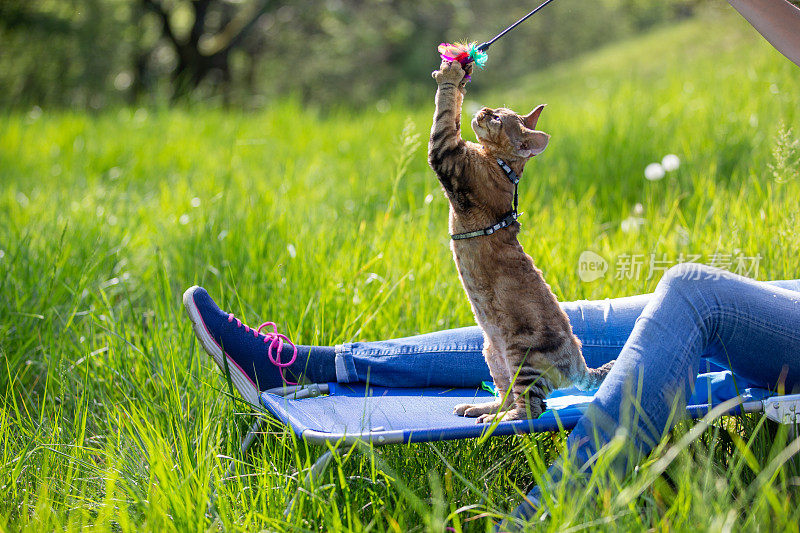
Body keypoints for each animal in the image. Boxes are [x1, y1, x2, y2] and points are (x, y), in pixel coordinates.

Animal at [428, 58, 616, 422]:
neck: (504, 166)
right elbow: (453, 110)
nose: (484, 109)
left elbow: (446, 112)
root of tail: (580, 363)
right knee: (506, 396)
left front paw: (452, 74)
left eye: (498, 119)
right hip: (492, 352)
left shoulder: (446, 153)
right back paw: (482, 408)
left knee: (531, 407)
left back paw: (498, 419)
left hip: (521, 356)